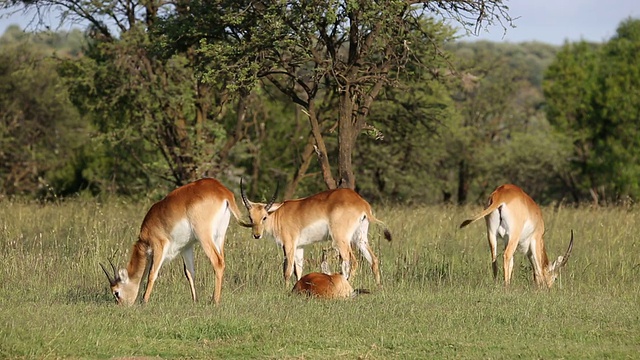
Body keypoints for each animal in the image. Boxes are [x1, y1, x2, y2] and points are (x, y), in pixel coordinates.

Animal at [100, 179, 248, 306]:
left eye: (116, 292)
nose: (121, 306)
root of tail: (223, 192)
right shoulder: (186, 247)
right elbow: (189, 272)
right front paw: (195, 301)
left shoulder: (159, 245)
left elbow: (152, 273)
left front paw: (144, 301)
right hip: (219, 237)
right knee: (221, 261)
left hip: (204, 237)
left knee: (217, 262)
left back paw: (214, 301)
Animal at [239, 180, 390, 286]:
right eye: (250, 217)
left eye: (264, 217)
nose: (256, 235)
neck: (278, 215)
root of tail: (362, 203)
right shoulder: (300, 246)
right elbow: (298, 270)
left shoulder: (289, 245)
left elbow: (287, 270)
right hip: (360, 238)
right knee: (374, 260)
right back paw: (378, 287)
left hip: (341, 239)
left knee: (352, 262)